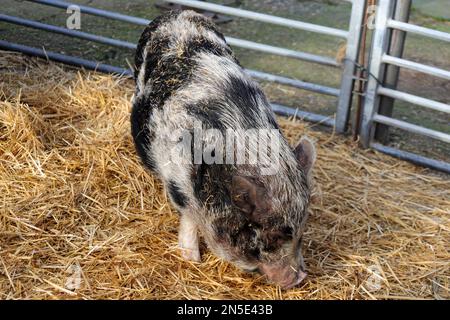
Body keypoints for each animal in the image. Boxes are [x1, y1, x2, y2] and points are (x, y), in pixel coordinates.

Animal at [130, 10, 316, 290]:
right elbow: (189, 218)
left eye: (301, 231)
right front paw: (191, 259)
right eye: (272, 235)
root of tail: (180, 12)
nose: (300, 278)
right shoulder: (176, 180)